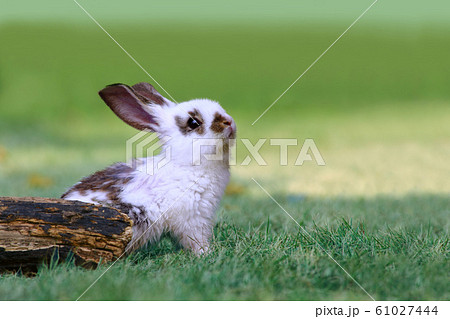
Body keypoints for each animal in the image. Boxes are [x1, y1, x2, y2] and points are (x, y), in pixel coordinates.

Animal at [62, 82, 237, 255]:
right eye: (193, 123)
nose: (229, 122)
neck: (186, 164)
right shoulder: (192, 219)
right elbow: (196, 241)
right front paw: (207, 253)